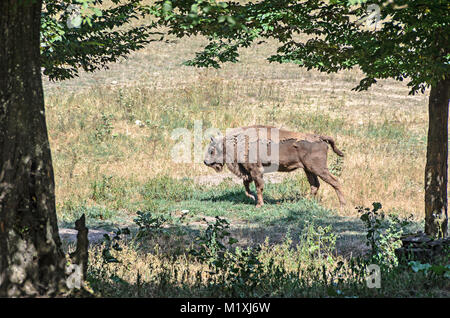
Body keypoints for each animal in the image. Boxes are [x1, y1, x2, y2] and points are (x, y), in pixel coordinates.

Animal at [202, 125, 346, 207]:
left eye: (212, 150)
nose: (205, 162)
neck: (236, 142)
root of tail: (320, 138)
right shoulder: (247, 172)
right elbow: (247, 186)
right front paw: (252, 197)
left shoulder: (255, 170)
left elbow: (258, 187)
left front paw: (259, 204)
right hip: (308, 170)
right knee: (315, 185)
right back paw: (303, 201)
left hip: (318, 169)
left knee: (335, 182)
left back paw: (342, 205)